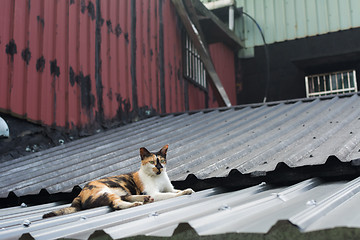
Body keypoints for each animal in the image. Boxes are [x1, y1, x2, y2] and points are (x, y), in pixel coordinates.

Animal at [42, 144, 194, 218]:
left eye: (162, 161)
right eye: (152, 162)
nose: (160, 168)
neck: (158, 178)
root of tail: (79, 194)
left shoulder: (169, 188)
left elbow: (174, 191)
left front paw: (183, 190)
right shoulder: (156, 193)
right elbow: (172, 194)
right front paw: (185, 192)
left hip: (120, 191)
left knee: (125, 197)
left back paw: (144, 199)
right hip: (106, 192)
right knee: (117, 204)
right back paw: (137, 203)